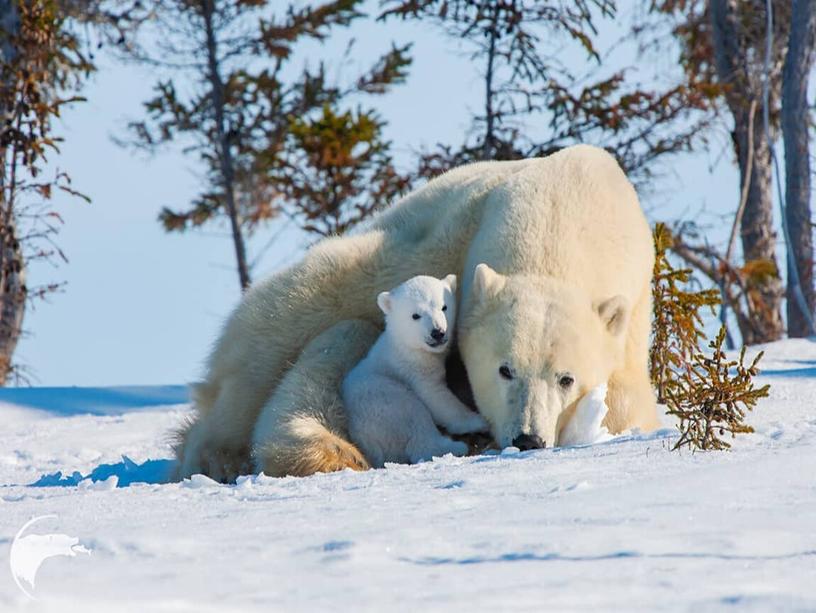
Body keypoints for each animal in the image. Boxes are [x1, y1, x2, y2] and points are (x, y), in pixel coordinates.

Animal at [175, 145, 660, 482]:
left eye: (566, 378)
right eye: (504, 369)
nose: (528, 439)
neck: (563, 207)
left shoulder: (632, 314)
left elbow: (625, 401)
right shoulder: (440, 245)